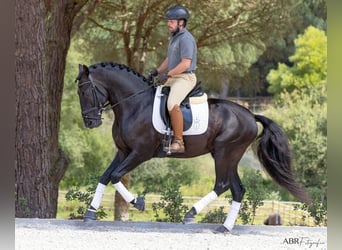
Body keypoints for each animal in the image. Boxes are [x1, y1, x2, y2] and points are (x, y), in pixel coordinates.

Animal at [76, 61, 312, 232]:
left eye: (85, 92)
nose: (90, 123)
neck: (135, 105)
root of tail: (250, 115)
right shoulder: (123, 151)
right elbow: (105, 176)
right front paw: (90, 213)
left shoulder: (140, 153)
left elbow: (116, 175)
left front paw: (139, 202)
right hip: (229, 157)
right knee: (237, 189)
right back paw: (225, 227)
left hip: (224, 153)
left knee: (222, 184)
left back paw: (191, 214)